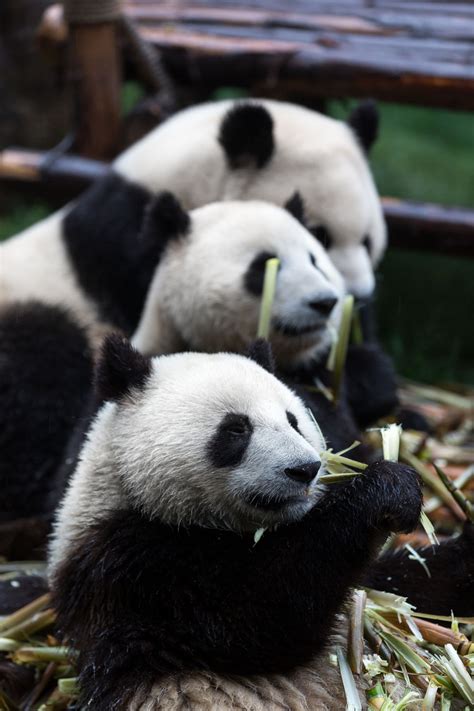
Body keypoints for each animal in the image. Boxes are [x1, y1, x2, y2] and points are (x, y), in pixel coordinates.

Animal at [48, 335, 422, 710]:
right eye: (236, 429)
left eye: (294, 421)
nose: (305, 469)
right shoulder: (134, 571)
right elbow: (261, 615)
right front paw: (386, 490)